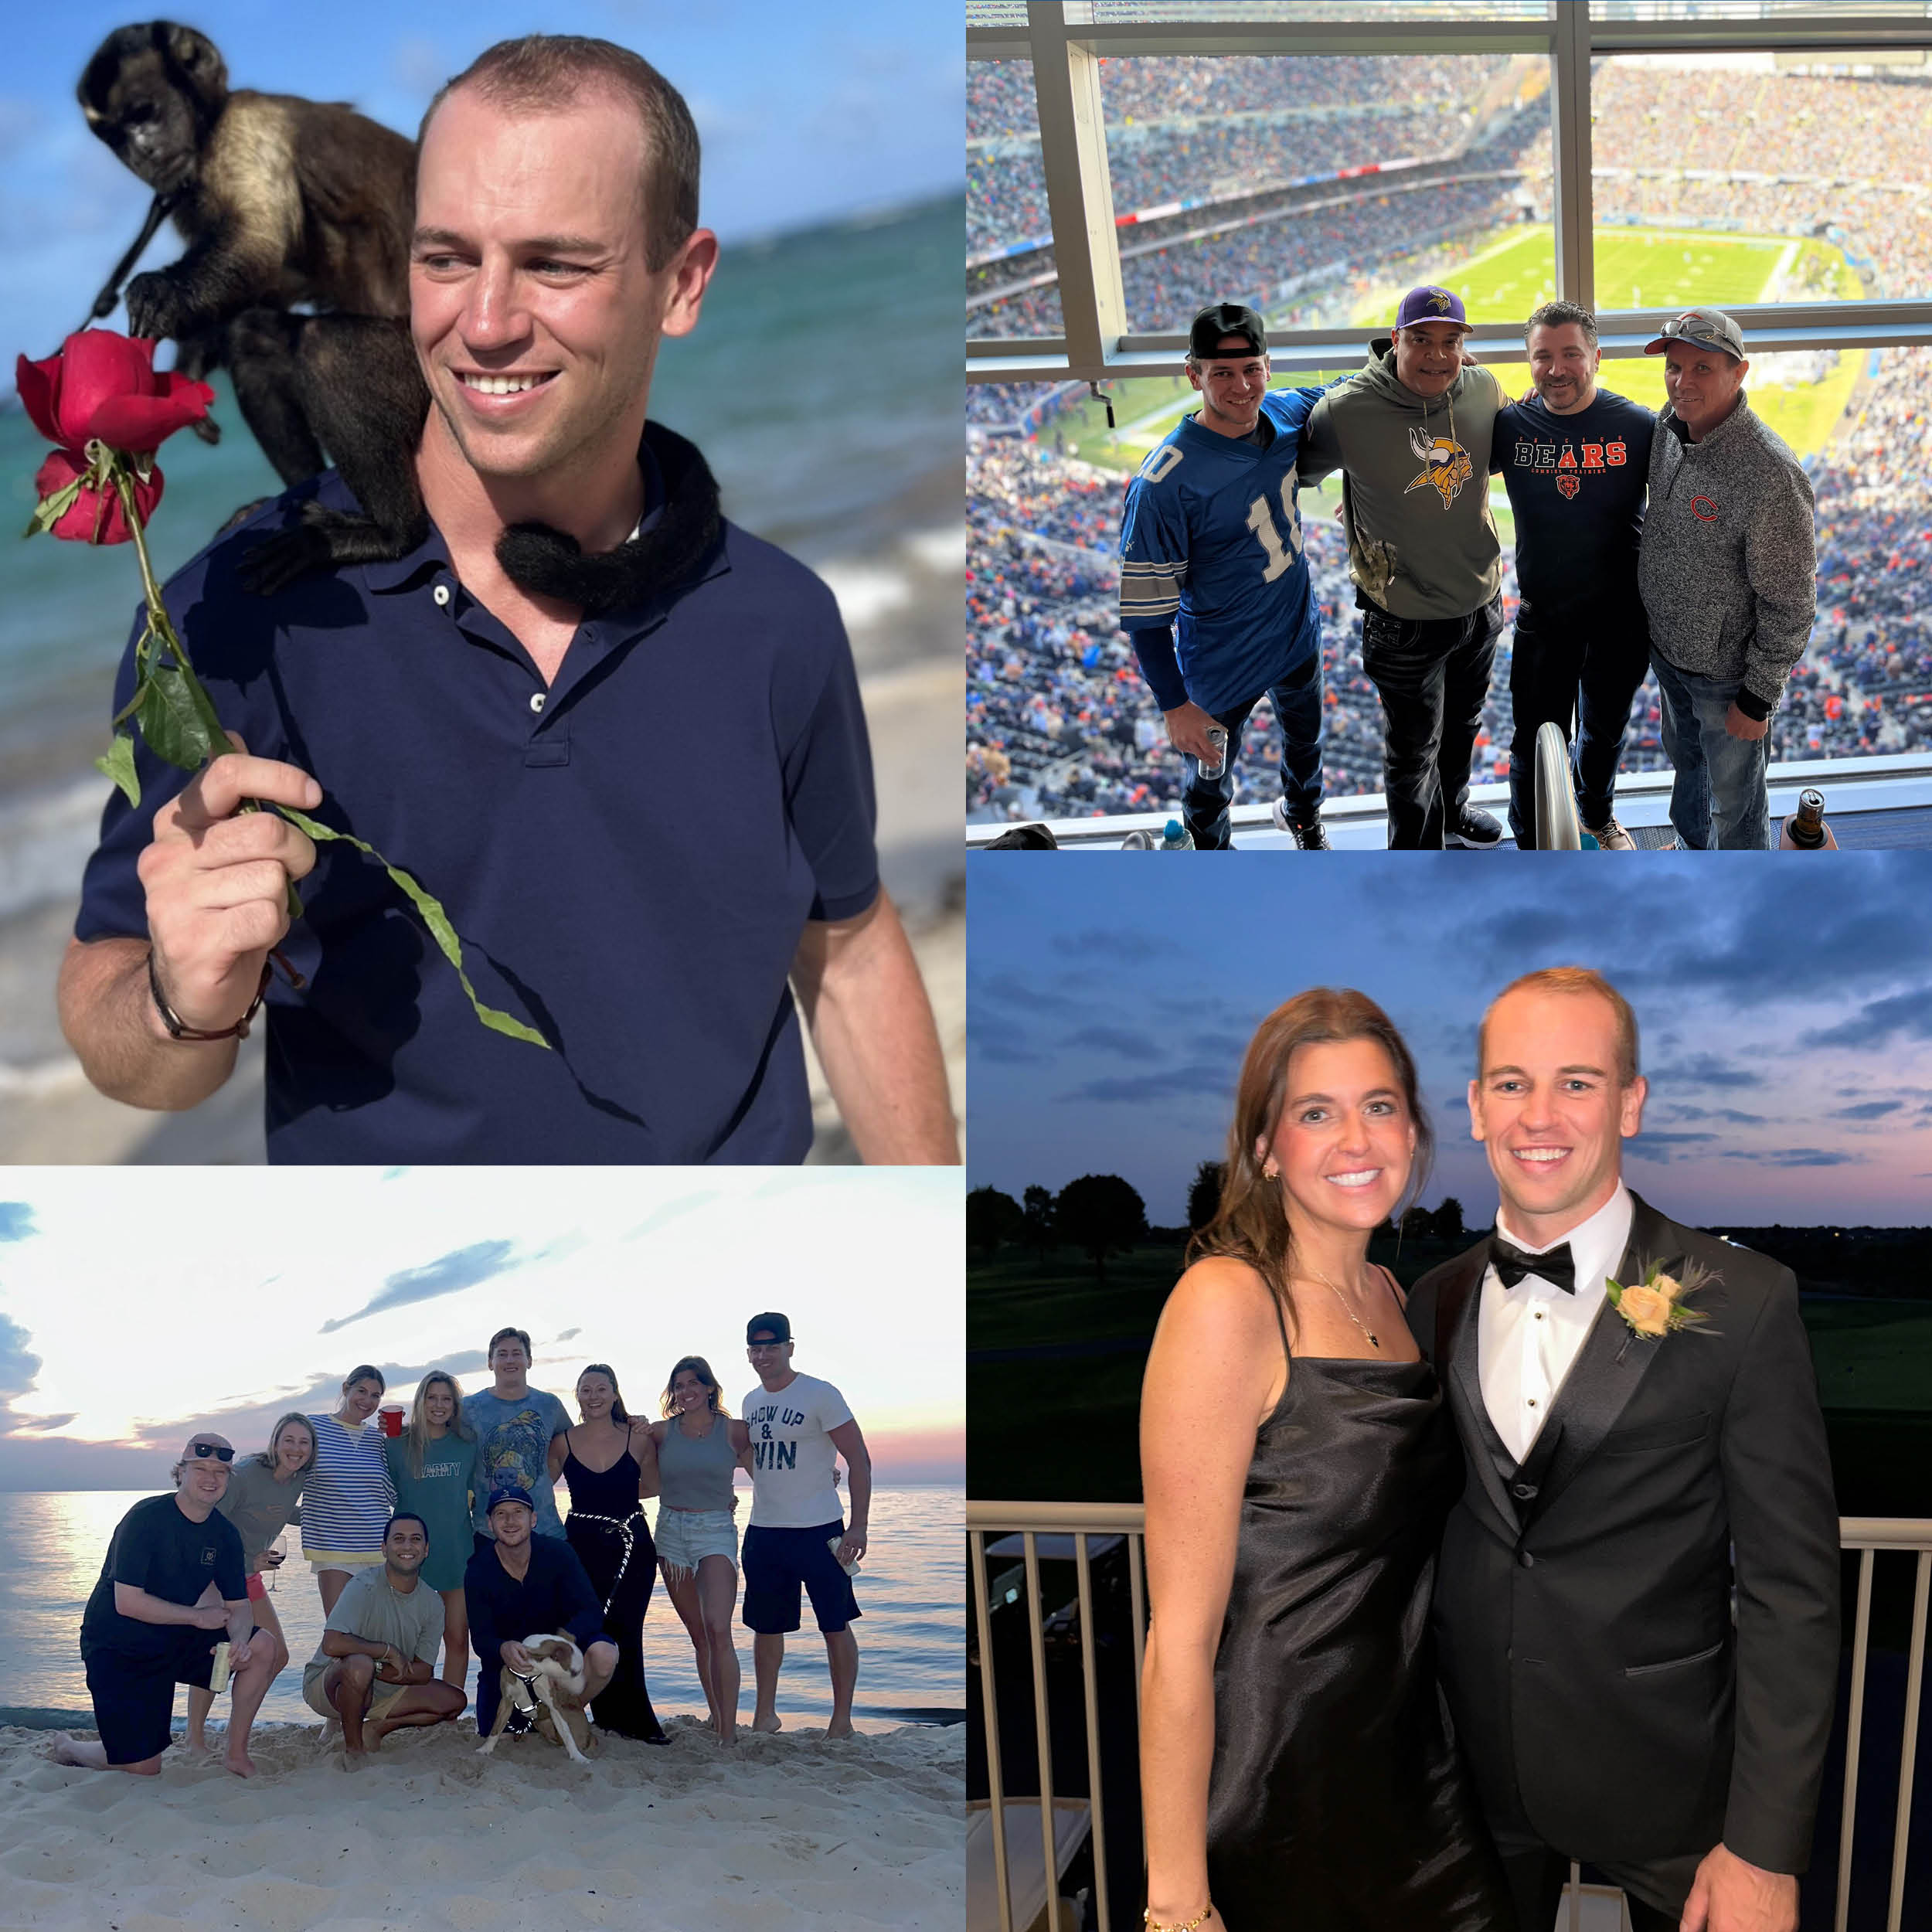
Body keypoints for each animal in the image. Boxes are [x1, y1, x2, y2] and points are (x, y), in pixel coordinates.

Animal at [80, 22, 427, 583]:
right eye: (118, 138)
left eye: (144, 114)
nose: (142, 152)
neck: (210, 123)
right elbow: (264, 277)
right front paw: (192, 355)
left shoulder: (245, 128)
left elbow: (258, 243)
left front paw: (159, 297)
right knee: (255, 341)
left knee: (328, 352)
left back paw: (391, 534)